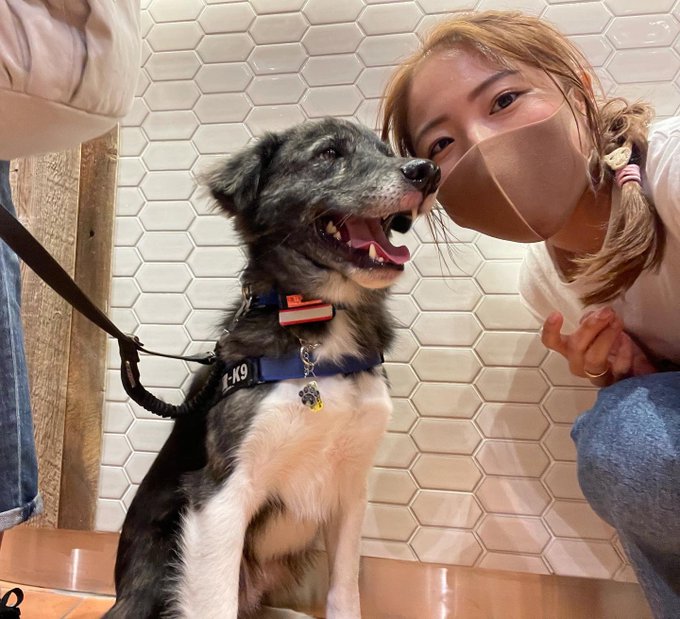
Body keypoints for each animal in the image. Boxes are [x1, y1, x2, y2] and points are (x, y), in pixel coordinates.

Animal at [104, 117, 440, 619]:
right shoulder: (222, 493)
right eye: (328, 154)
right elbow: (216, 604)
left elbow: (345, 591)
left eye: (388, 152)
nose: (428, 171)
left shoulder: (350, 493)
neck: (320, 326)